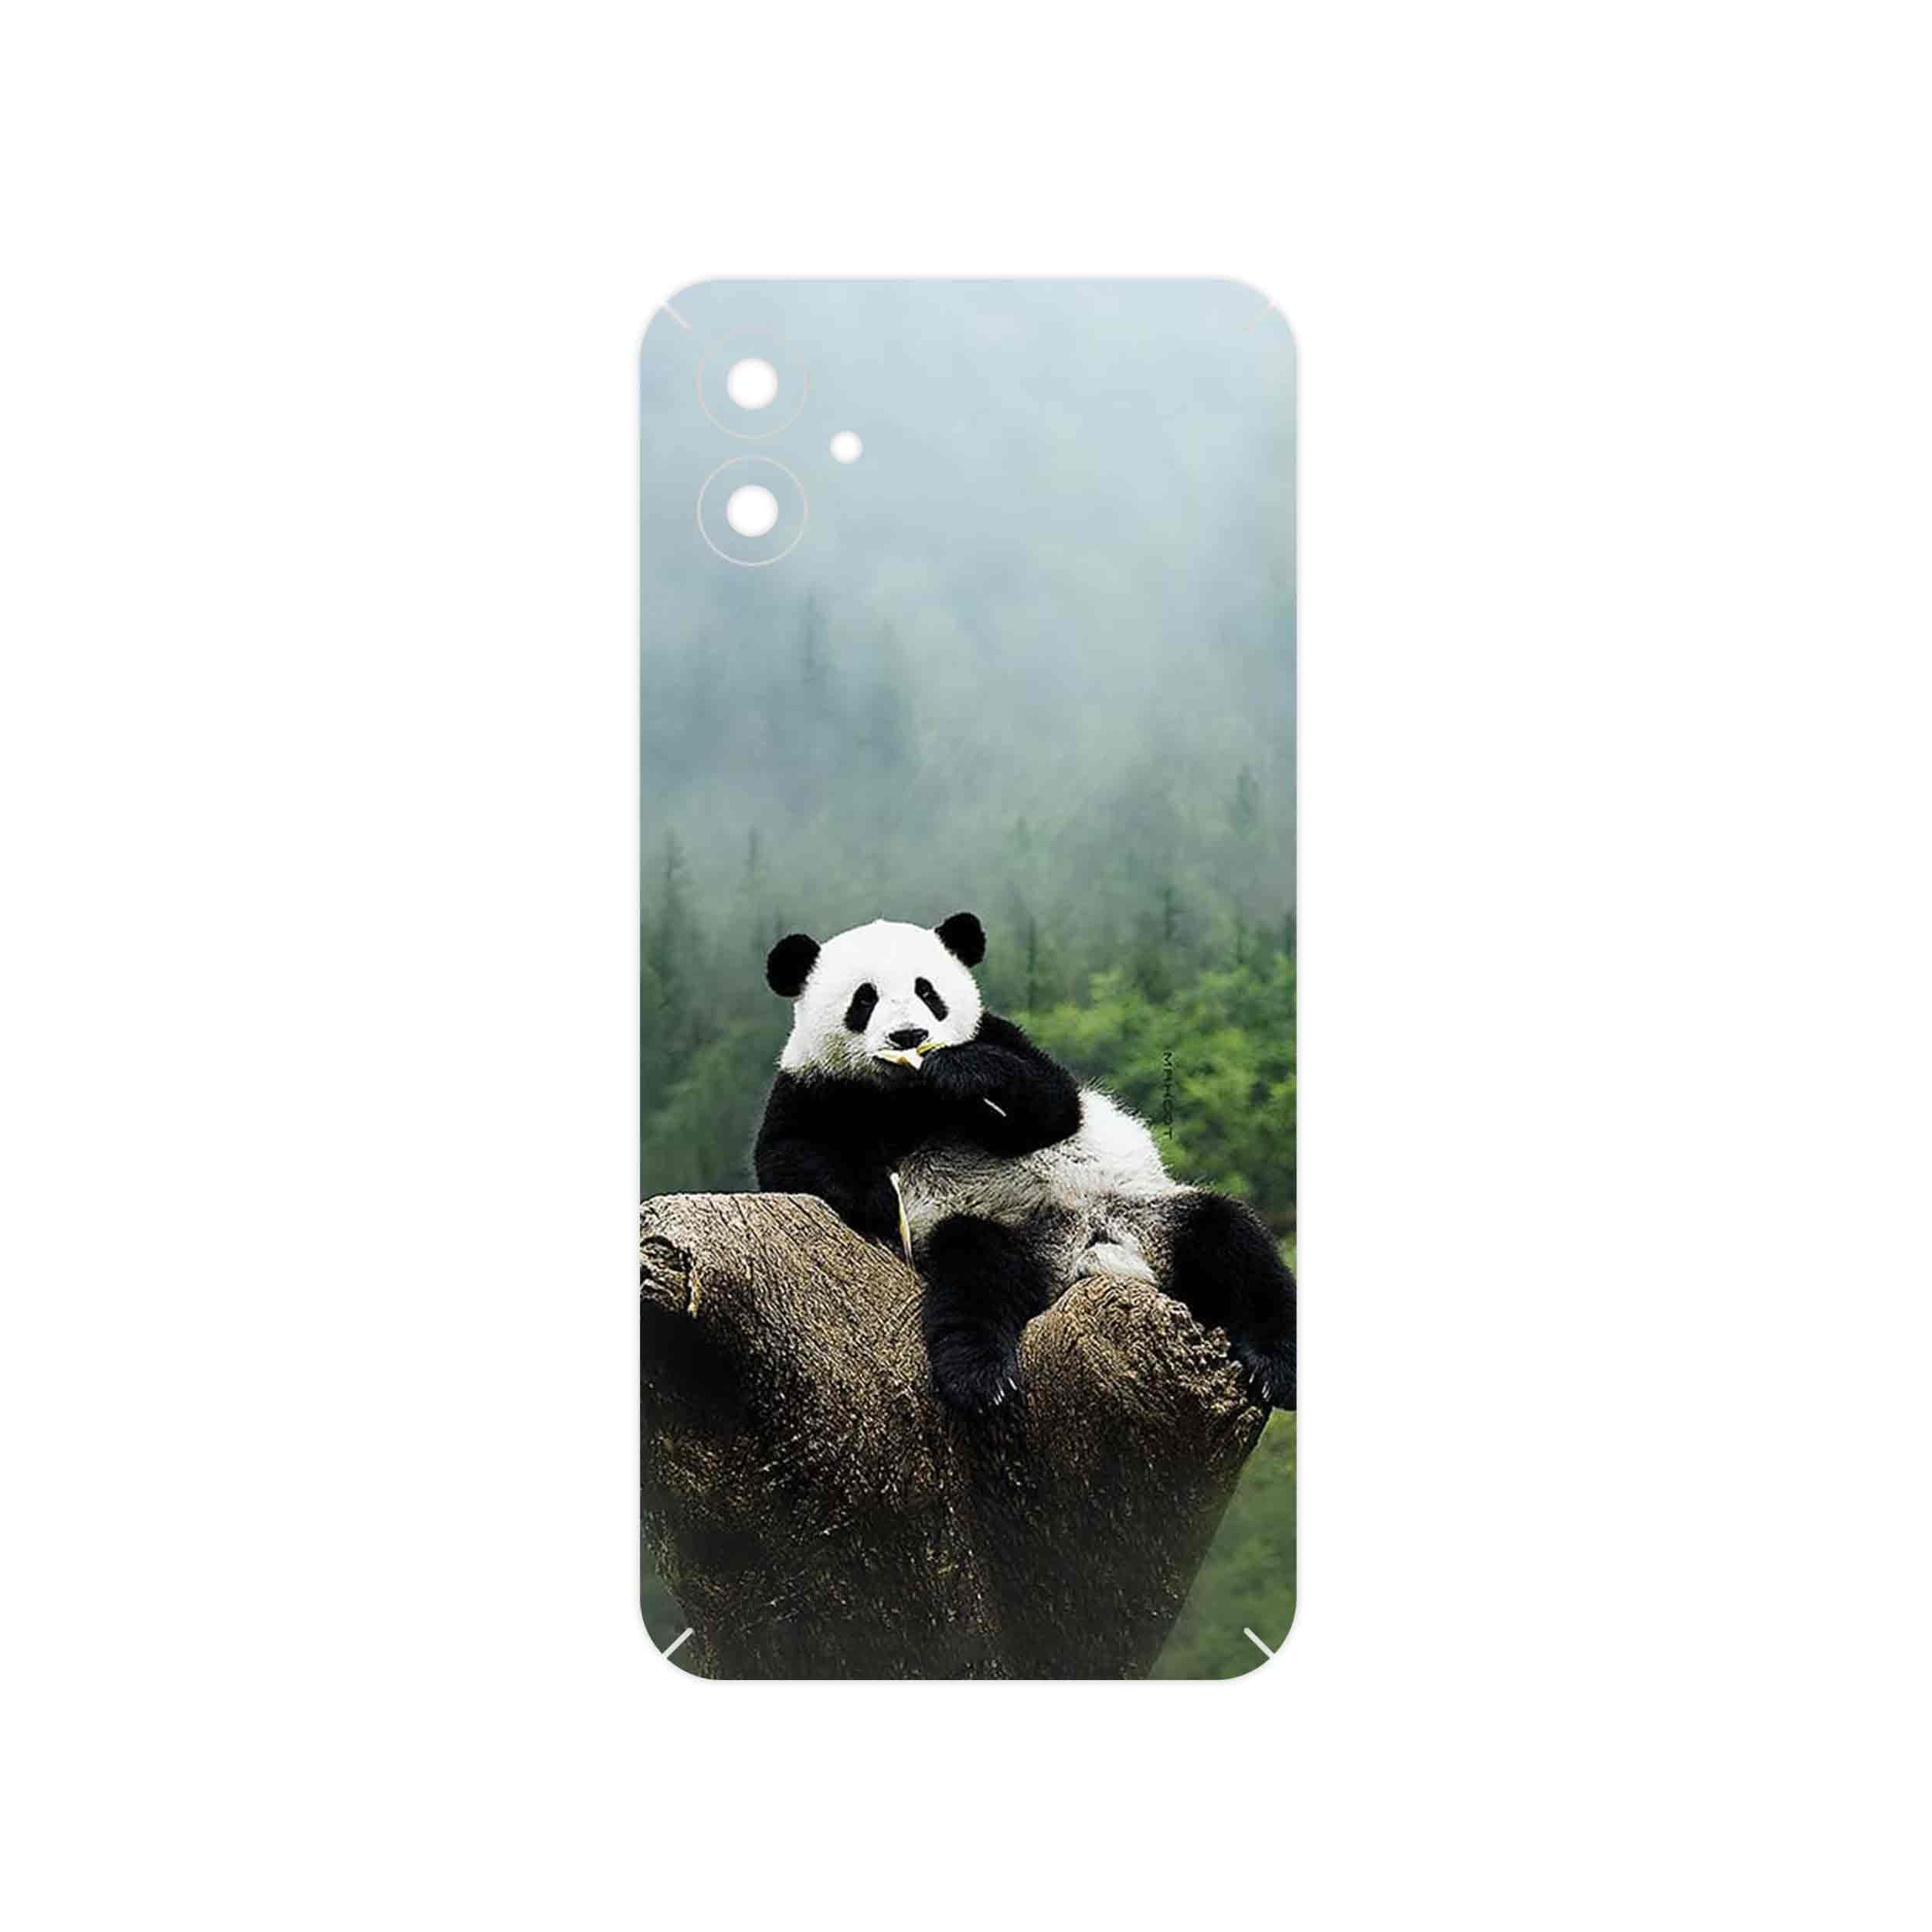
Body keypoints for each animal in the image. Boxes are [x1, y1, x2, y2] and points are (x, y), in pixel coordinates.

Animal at [754, 911, 1297, 1416]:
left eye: (927, 991)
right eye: (864, 999)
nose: (909, 1036)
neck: (909, 1098)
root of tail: (1088, 1253)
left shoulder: (999, 1036)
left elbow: (1054, 1104)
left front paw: (960, 1070)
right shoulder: (812, 1087)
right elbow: (787, 1156)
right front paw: (880, 1199)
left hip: (1147, 1212)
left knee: (1233, 1242)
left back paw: (1278, 1367)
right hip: (1003, 1233)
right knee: (974, 1275)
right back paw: (981, 1379)